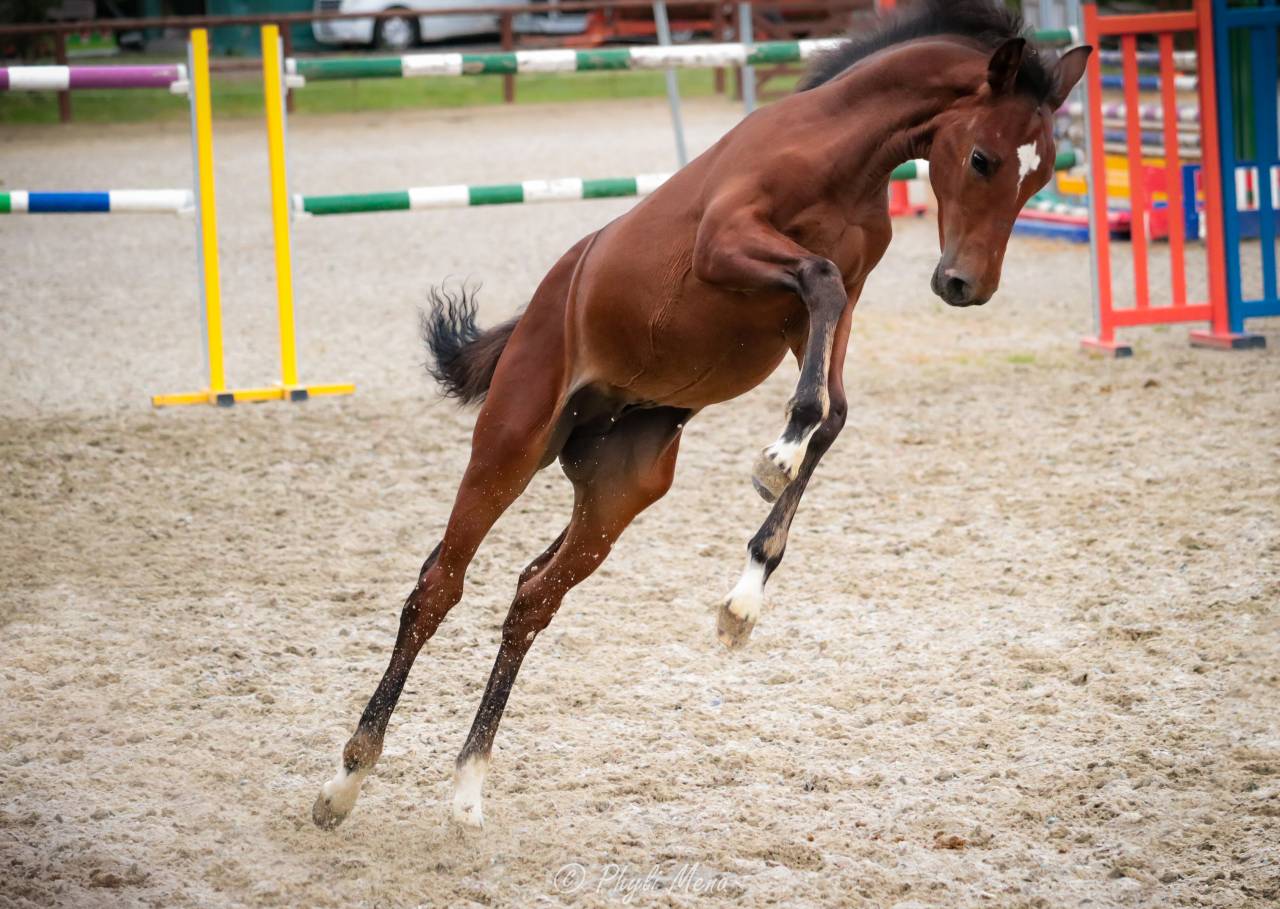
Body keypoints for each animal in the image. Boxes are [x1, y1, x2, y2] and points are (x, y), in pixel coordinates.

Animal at [312, 0, 1091, 831]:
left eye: (1043, 174)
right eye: (981, 158)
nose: (966, 285)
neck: (838, 154)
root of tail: (537, 315)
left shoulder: (821, 316)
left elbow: (835, 409)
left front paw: (745, 593)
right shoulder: (733, 251)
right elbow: (817, 308)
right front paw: (775, 456)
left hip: (618, 491)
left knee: (531, 597)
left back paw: (467, 787)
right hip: (510, 445)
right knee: (439, 587)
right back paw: (346, 779)